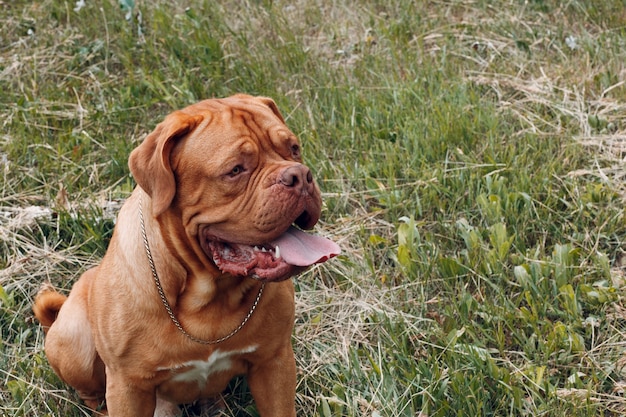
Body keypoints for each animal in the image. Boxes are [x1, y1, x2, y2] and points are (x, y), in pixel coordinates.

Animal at [32, 95, 338, 416]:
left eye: (294, 148)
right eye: (236, 169)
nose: (300, 176)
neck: (209, 296)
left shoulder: (274, 362)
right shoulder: (128, 386)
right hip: (74, 342)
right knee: (90, 392)